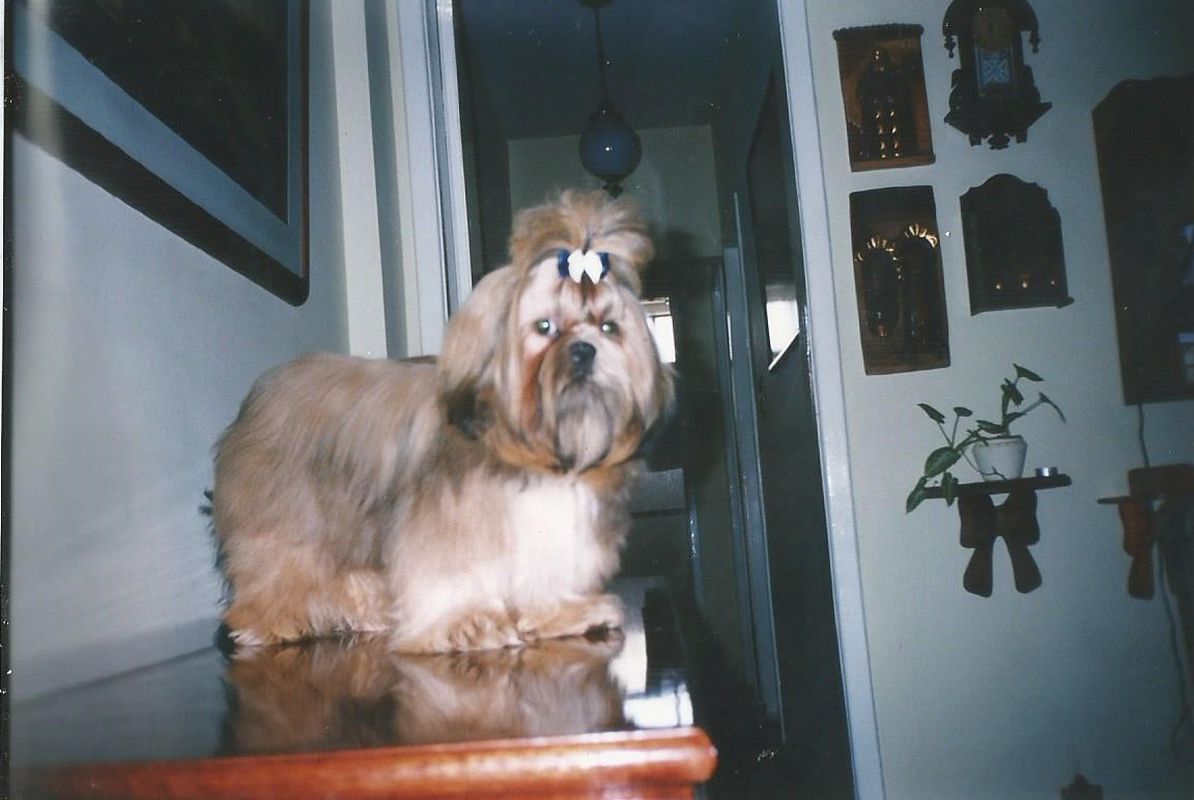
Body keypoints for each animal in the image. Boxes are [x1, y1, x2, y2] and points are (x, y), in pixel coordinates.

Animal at [213, 190, 673, 653]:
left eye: (609, 327)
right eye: (544, 326)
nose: (584, 350)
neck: (539, 451)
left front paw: (562, 612)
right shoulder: (451, 523)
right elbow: (453, 574)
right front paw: (469, 622)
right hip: (292, 513)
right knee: (277, 561)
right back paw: (270, 620)